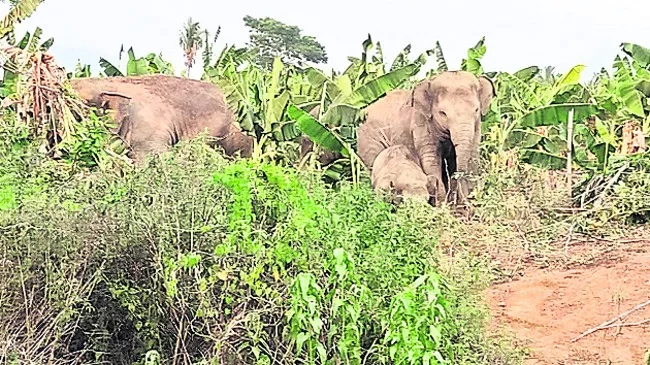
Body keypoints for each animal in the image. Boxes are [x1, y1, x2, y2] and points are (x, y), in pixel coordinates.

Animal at [356, 69, 494, 203]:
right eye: (443, 113)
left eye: (476, 110)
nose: (462, 201)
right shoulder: (421, 122)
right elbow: (431, 159)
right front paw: (441, 205)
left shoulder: (477, 125)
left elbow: (473, 154)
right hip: (369, 139)